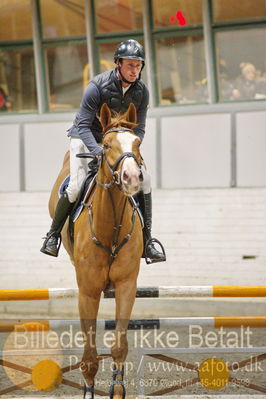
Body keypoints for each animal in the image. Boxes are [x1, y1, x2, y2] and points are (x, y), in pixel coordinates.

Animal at [47, 104, 143, 399]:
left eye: (137, 142)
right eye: (106, 144)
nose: (132, 178)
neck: (109, 225)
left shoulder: (126, 285)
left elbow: (119, 346)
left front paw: (118, 389)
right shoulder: (87, 292)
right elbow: (89, 358)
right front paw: (89, 390)